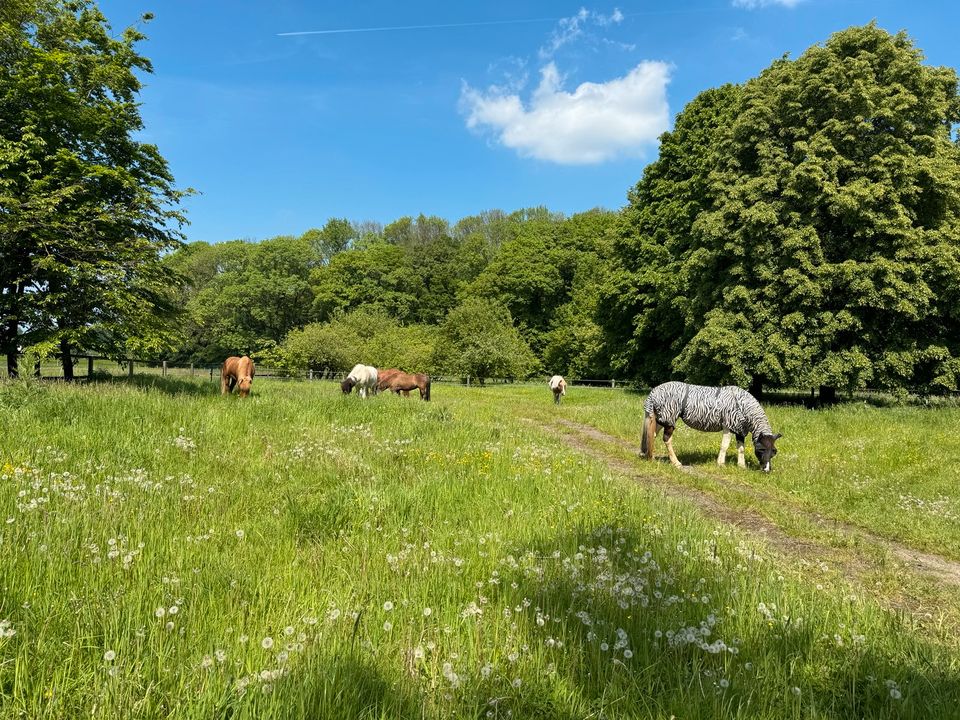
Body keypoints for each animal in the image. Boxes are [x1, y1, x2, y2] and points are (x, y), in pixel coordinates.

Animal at [636, 382, 780, 472]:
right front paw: (721, 464)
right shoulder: (728, 426)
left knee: (652, 435)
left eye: (774, 451)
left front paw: (741, 466)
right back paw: (676, 462)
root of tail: (654, 393)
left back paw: (651, 456)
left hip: (661, 420)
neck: (741, 404)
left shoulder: (739, 429)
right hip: (669, 420)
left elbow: (741, 449)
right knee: (666, 439)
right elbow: (724, 446)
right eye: (761, 449)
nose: (767, 470)